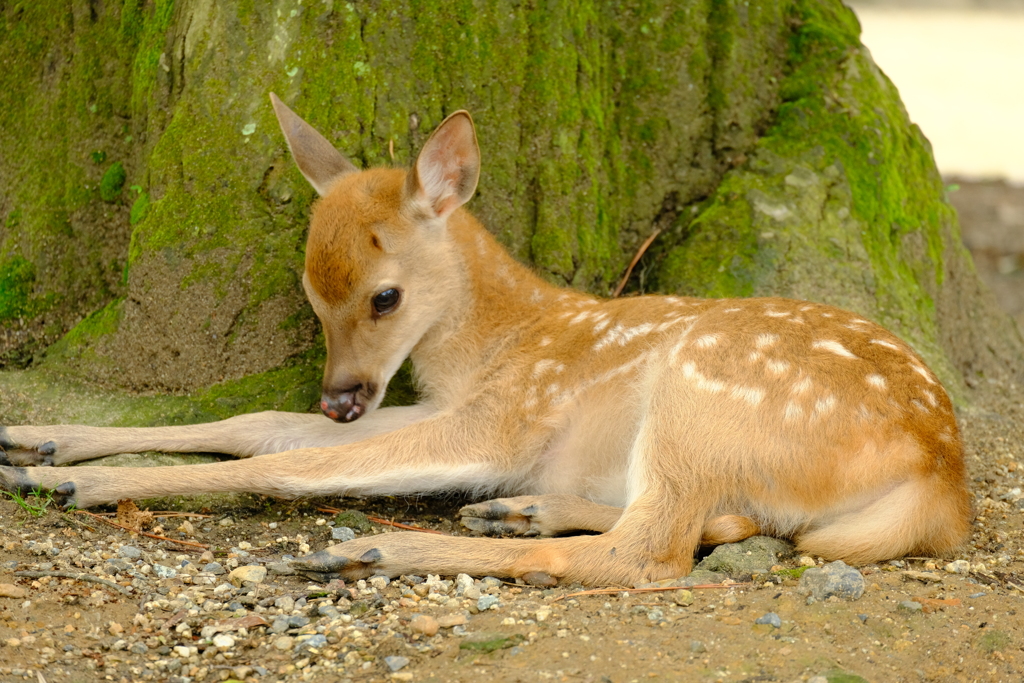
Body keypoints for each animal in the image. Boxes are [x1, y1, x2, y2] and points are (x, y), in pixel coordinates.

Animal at [0, 96, 970, 585]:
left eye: (385, 296)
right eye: (311, 294)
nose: (341, 395)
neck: (500, 340)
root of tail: (943, 476)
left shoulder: (503, 415)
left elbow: (293, 464)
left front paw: (69, 480)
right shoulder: (446, 402)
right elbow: (258, 424)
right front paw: (38, 436)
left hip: (700, 391)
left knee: (649, 551)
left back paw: (371, 548)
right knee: (697, 522)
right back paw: (518, 508)